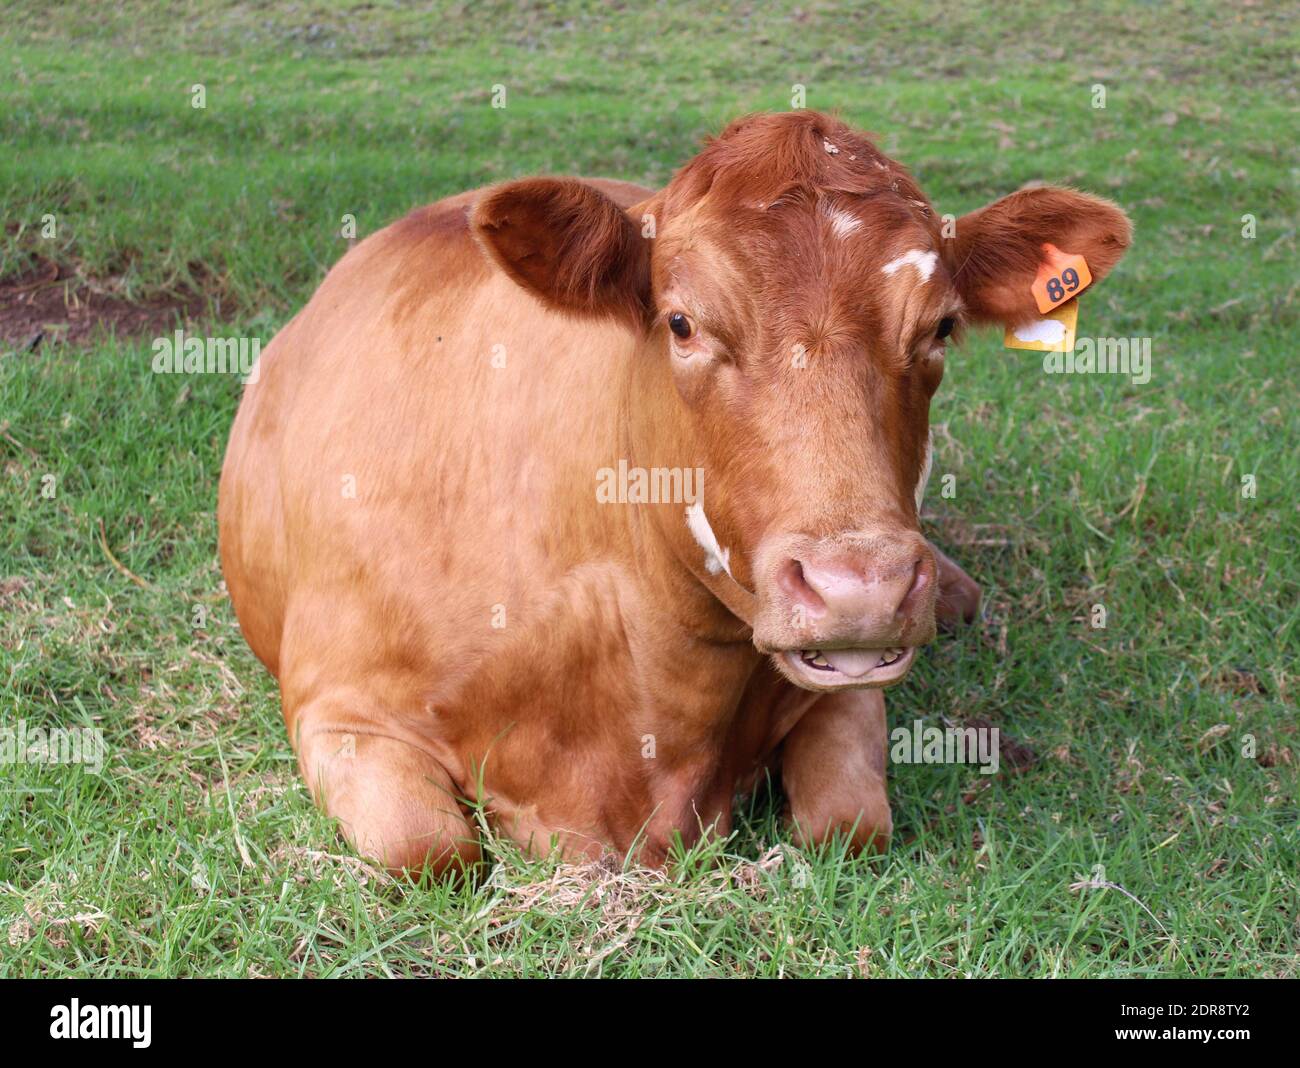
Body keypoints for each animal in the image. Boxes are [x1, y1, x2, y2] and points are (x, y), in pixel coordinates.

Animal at [220, 108, 1128, 878]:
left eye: (939, 327)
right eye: (683, 323)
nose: (859, 590)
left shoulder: (846, 690)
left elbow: (850, 823)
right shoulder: (340, 707)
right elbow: (428, 850)